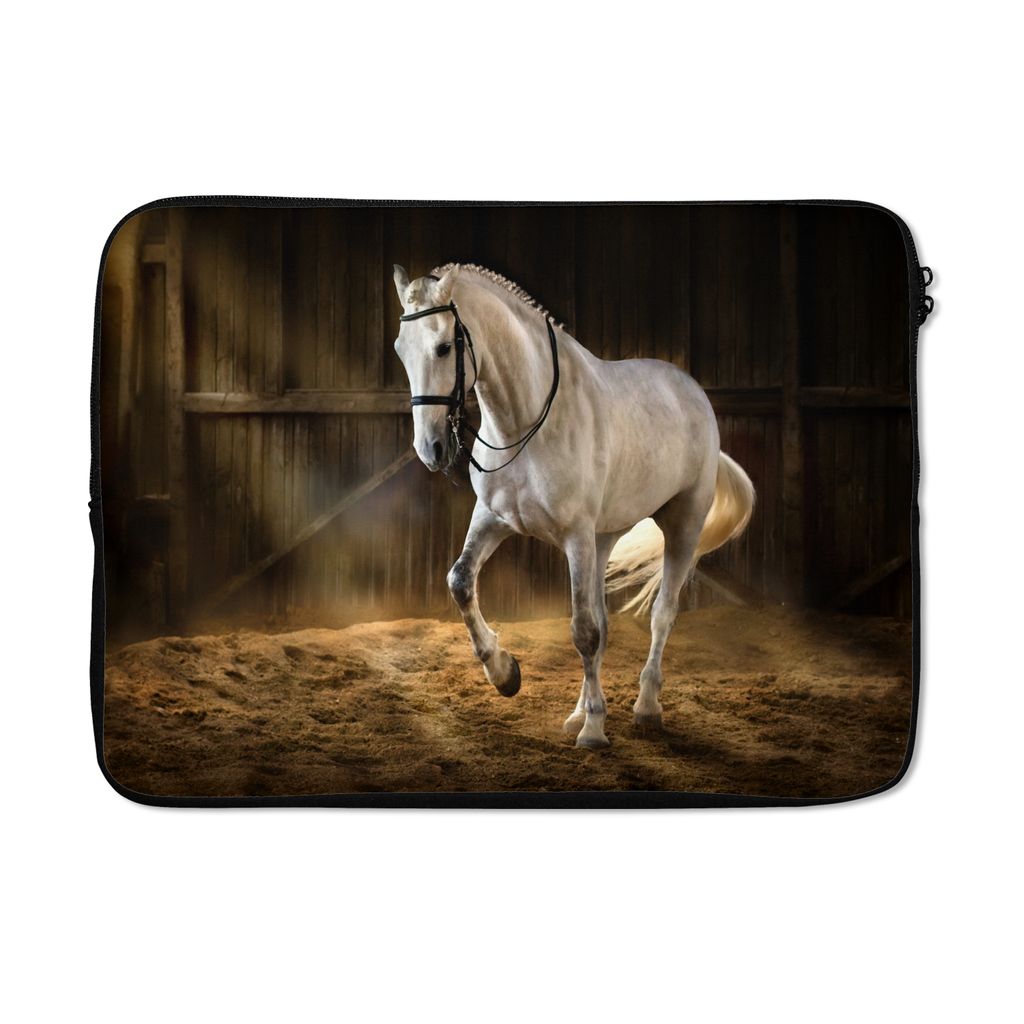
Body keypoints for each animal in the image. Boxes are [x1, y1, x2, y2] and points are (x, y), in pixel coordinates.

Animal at [391, 262, 754, 748]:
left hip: (681, 525)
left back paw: (645, 707)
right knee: (603, 620)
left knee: (661, 615)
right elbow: (461, 582)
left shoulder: (575, 537)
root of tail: (692, 390)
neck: (525, 426)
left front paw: (595, 731)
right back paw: (578, 711)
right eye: (401, 350)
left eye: (444, 347)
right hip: (604, 539)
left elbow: (583, 632)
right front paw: (505, 674)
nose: (429, 449)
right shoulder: (493, 520)